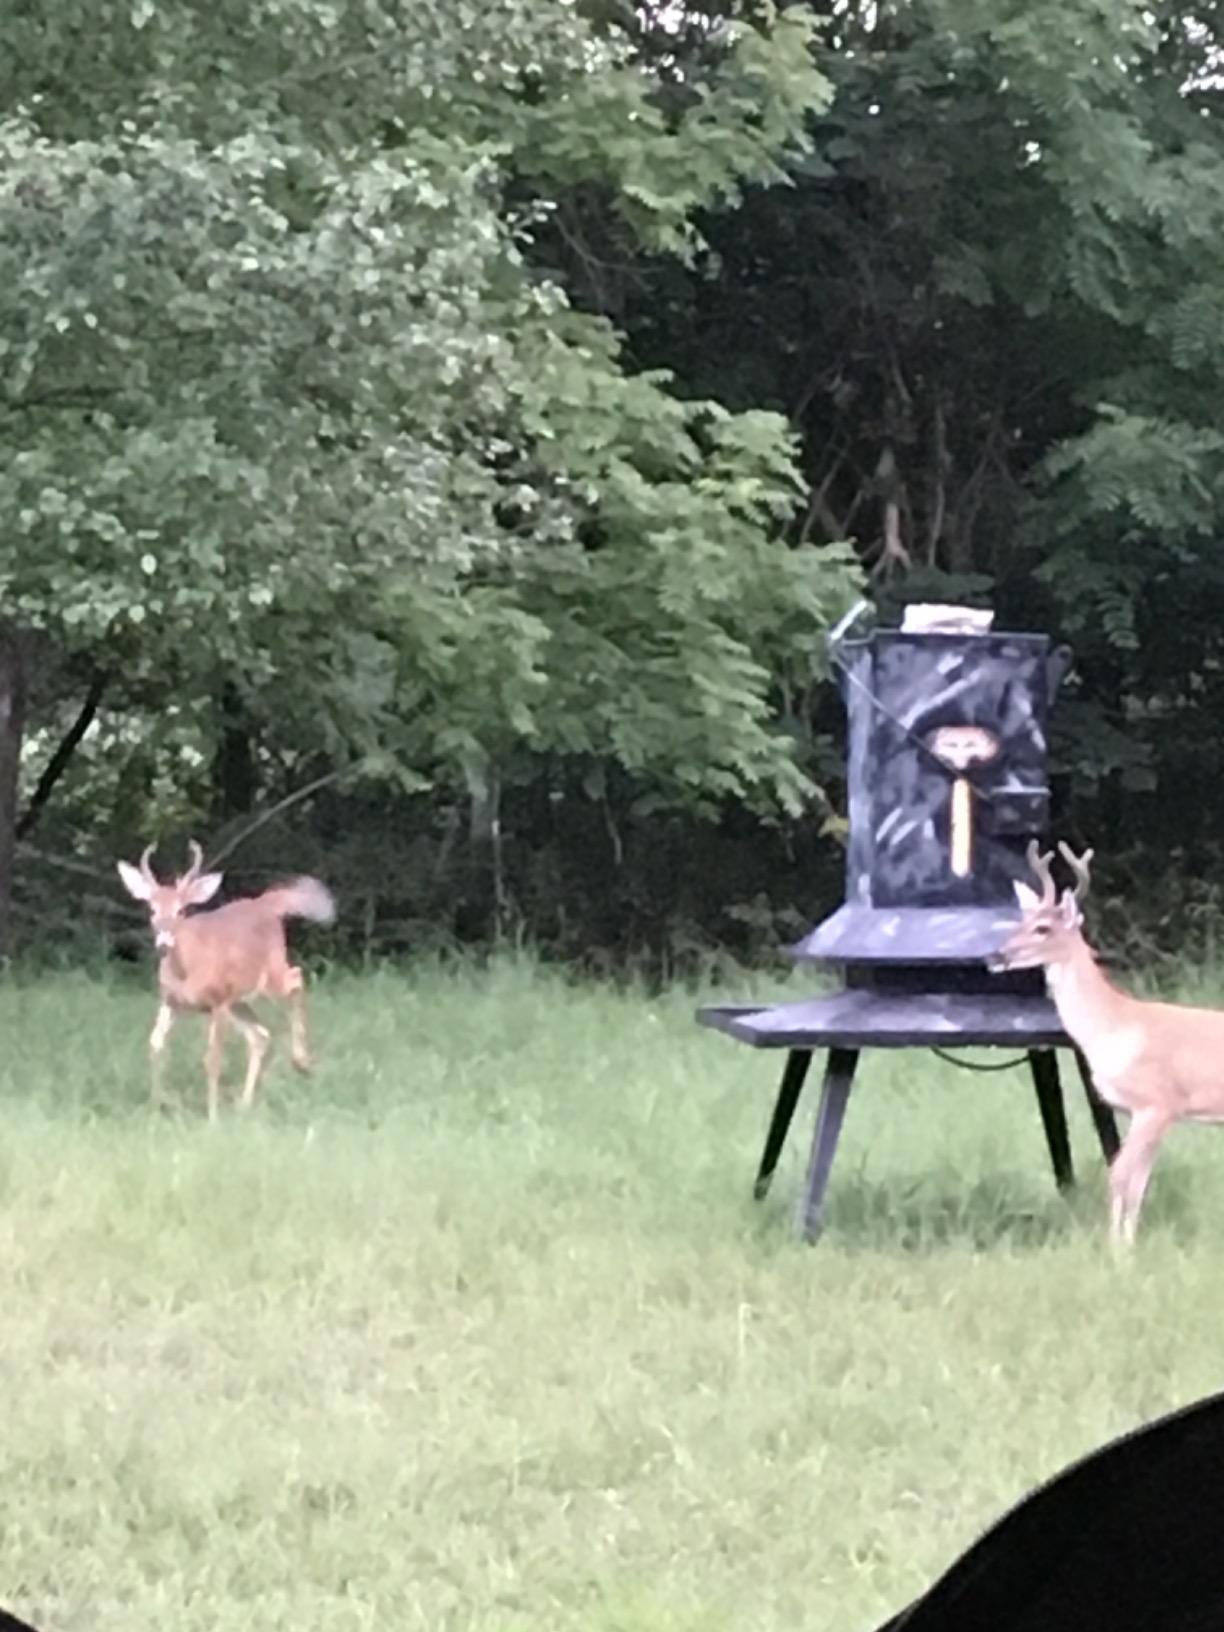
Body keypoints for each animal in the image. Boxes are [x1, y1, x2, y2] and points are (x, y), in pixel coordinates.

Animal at [117, 840, 335, 1121]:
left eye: (181, 910)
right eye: (152, 909)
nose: (163, 943)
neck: (187, 971)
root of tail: (265, 902)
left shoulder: (217, 1001)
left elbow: (213, 1059)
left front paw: (212, 1117)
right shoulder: (170, 1000)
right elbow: (155, 1045)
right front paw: (156, 1107)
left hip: (268, 974)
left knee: (296, 978)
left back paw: (302, 1063)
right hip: (238, 1000)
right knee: (260, 1035)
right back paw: (245, 1104)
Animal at [990, 838, 1224, 1246]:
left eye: (1043, 928)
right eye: (1019, 922)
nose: (995, 955)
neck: (1114, 1028)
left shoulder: (1157, 1103)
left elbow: (1121, 1175)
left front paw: (1115, 1248)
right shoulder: (1142, 1112)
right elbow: (1137, 1181)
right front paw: (1126, 1243)